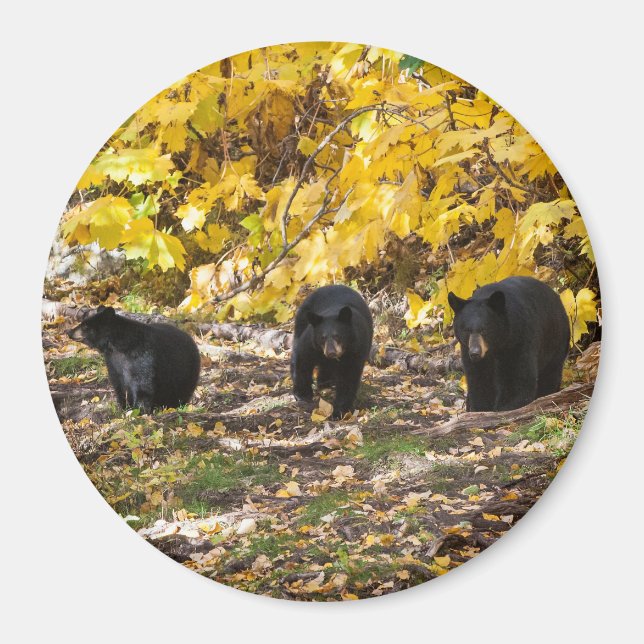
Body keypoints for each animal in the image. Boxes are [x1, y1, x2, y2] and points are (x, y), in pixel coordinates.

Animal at [68, 306, 201, 413]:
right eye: (83, 322)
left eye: (85, 326)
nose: (69, 331)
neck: (117, 346)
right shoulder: (113, 361)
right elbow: (119, 383)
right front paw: (124, 407)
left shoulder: (142, 355)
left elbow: (143, 383)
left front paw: (139, 410)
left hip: (186, 370)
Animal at [291, 285, 373, 419]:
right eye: (322, 337)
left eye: (337, 336)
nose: (331, 352)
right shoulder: (311, 343)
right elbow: (303, 359)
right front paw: (302, 394)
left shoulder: (356, 350)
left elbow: (348, 378)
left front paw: (339, 411)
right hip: (301, 320)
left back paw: (325, 384)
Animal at [448, 276, 570, 412]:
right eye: (466, 330)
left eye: (484, 330)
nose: (475, 352)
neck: (495, 347)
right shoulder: (467, 350)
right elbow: (479, 380)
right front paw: (480, 407)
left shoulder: (518, 340)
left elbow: (517, 380)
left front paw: (505, 407)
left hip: (555, 340)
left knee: (551, 372)